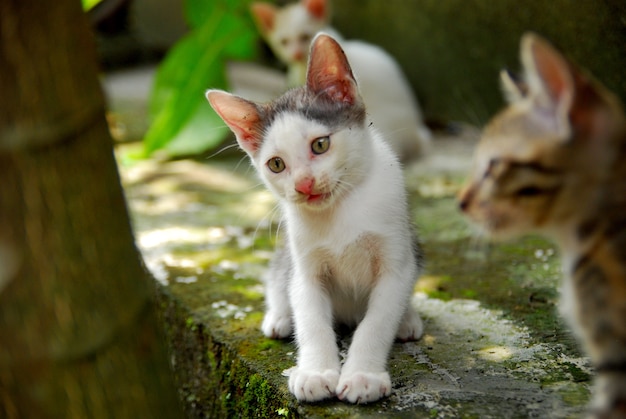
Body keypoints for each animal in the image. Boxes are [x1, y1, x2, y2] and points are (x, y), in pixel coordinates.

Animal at [207, 34, 422, 406]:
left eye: (320, 145)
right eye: (276, 164)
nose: (304, 184)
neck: (343, 208)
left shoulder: (396, 261)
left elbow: (377, 321)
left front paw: (363, 375)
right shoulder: (305, 267)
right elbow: (311, 319)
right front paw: (316, 372)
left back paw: (407, 319)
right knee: (281, 281)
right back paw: (280, 317)